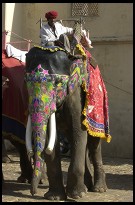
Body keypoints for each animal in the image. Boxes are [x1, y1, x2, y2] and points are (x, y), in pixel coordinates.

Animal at [24, 44, 111, 200]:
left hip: (99, 110)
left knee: (93, 144)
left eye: (58, 83)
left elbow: (79, 130)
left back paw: (98, 189)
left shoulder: (76, 95)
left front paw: (77, 195)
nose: (33, 192)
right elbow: (52, 139)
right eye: (26, 82)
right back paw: (87, 186)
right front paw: (54, 197)